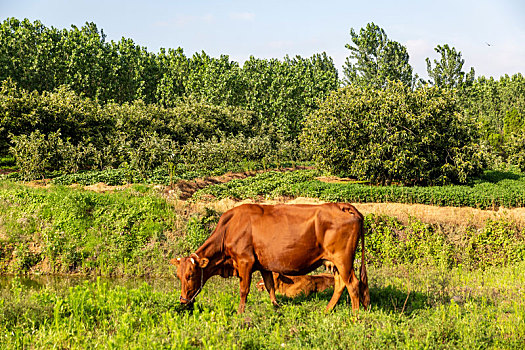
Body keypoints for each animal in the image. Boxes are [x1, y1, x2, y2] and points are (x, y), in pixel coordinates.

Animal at [172, 201, 368, 314]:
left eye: (190, 275)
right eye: (179, 276)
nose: (182, 301)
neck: (229, 228)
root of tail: (343, 206)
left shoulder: (245, 262)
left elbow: (244, 290)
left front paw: (240, 313)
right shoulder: (264, 265)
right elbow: (270, 286)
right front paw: (276, 307)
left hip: (343, 260)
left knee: (352, 284)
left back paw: (355, 316)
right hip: (334, 262)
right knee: (340, 284)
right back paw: (327, 311)